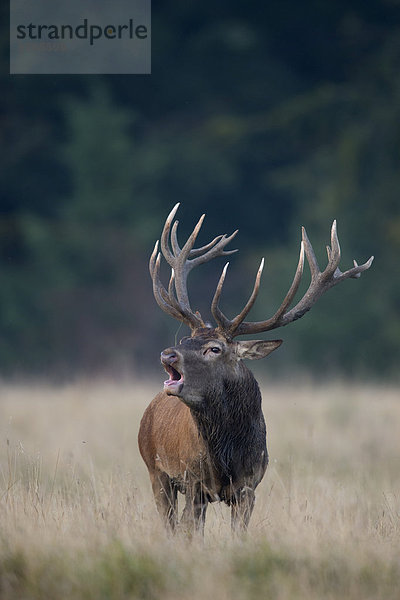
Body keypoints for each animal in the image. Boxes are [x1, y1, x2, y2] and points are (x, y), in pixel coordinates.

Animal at [139, 204, 374, 532]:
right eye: (186, 338)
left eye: (215, 348)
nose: (168, 354)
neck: (226, 458)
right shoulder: (194, 482)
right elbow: (190, 533)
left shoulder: (249, 486)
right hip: (155, 470)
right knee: (169, 524)